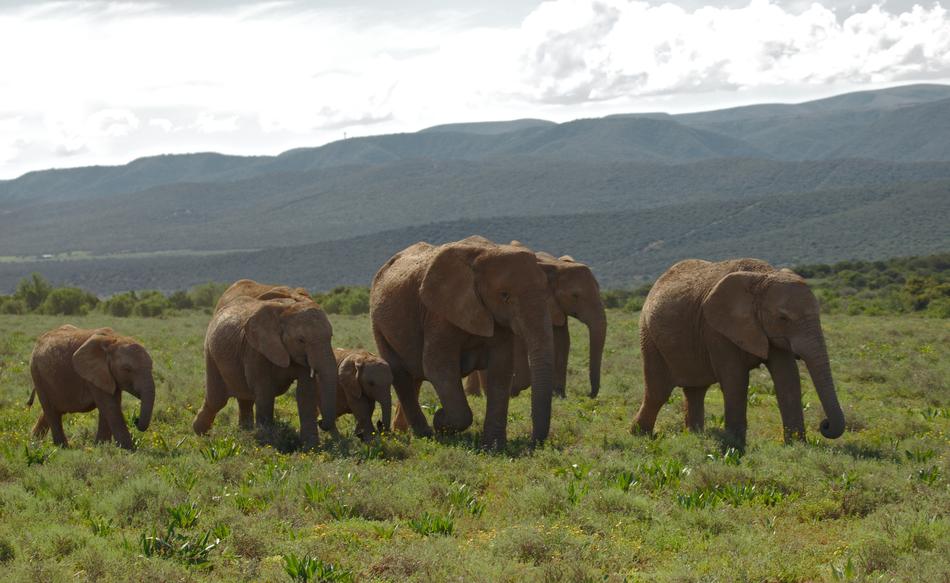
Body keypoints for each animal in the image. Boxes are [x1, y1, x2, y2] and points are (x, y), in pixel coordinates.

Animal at [194, 280, 338, 448]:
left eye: (331, 336)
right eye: (301, 340)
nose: (321, 421)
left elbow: (306, 393)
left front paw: (311, 448)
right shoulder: (256, 349)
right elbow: (265, 391)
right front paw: (268, 444)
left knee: (245, 398)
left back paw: (244, 433)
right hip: (210, 352)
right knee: (217, 400)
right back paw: (200, 433)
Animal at [371, 236, 557, 450]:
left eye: (547, 293)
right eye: (504, 295)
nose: (533, 443)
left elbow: (501, 368)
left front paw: (493, 447)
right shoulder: (439, 313)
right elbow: (438, 366)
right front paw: (441, 421)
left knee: (413, 376)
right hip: (378, 324)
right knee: (400, 374)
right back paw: (425, 434)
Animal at [465, 243, 606, 399]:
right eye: (575, 295)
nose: (588, 394)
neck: (558, 266)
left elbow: (562, 339)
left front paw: (558, 395)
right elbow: (520, 341)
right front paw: (514, 391)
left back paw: (474, 394)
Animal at [632, 258, 846, 445]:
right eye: (783, 318)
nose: (825, 425)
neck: (763, 275)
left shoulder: (770, 332)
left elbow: (788, 378)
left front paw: (797, 445)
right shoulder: (715, 329)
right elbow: (736, 381)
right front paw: (734, 444)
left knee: (695, 391)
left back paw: (695, 436)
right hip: (648, 335)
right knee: (658, 392)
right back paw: (640, 435)